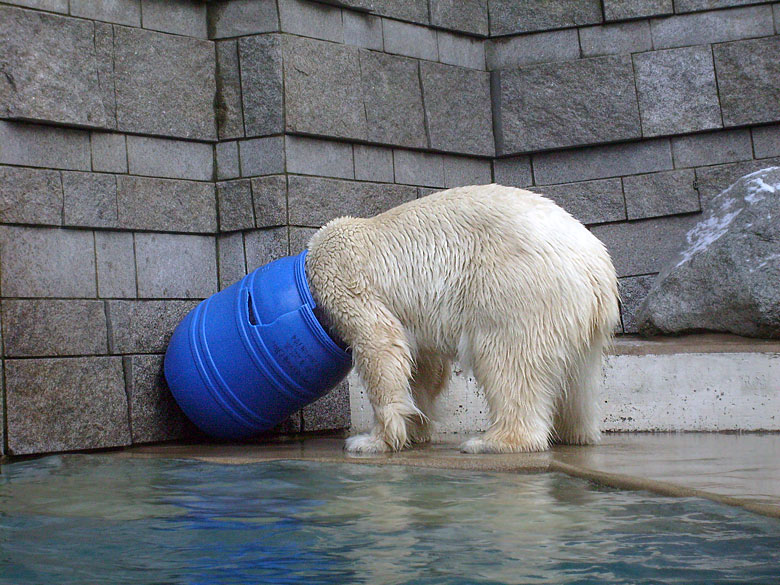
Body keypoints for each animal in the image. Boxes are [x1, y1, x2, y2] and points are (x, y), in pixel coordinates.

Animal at [304, 185, 620, 454]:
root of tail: (596, 263)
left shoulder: (341, 275)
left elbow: (380, 343)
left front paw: (373, 440)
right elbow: (424, 366)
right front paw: (415, 428)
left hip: (517, 287)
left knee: (508, 360)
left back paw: (493, 441)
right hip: (581, 315)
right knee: (579, 379)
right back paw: (575, 433)